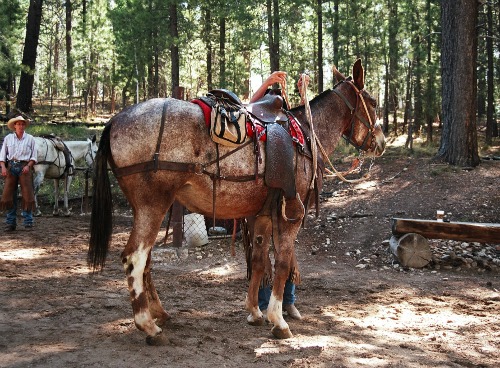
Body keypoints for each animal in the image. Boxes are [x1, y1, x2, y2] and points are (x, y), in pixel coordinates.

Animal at [89, 59, 386, 344]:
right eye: (372, 102)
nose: (381, 142)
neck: (306, 134)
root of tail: (115, 121)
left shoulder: (261, 215)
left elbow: (259, 261)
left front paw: (254, 312)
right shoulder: (291, 214)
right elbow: (283, 263)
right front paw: (278, 320)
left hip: (146, 209)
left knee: (146, 261)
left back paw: (160, 313)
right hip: (152, 205)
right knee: (135, 258)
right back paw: (148, 326)